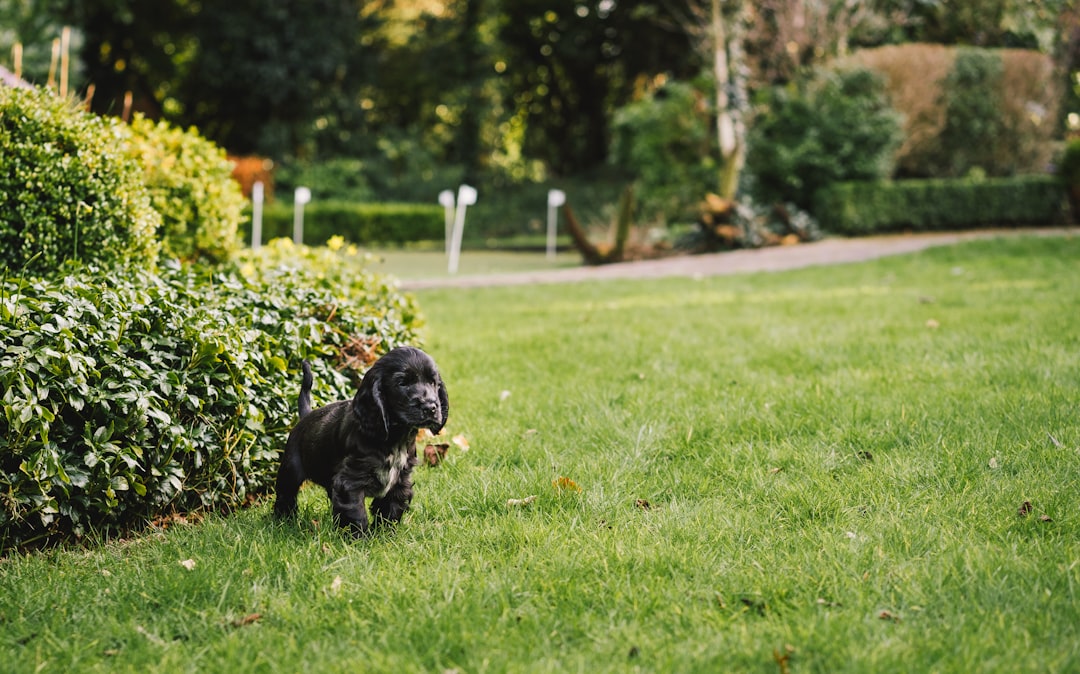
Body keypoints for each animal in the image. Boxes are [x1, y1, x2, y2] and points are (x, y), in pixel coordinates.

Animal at [278, 347, 451, 531]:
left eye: (433, 382)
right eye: (402, 383)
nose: (430, 407)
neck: (394, 438)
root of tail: (305, 416)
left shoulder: (400, 480)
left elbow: (390, 510)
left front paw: (384, 533)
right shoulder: (350, 481)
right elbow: (355, 513)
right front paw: (358, 537)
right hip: (290, 469)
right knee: (285, 495)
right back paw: (283, 521)